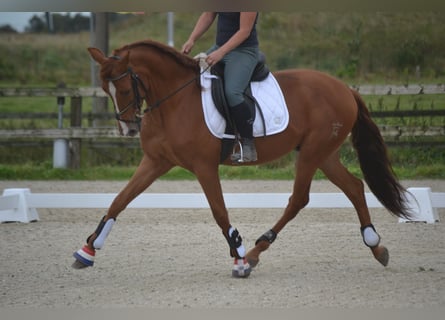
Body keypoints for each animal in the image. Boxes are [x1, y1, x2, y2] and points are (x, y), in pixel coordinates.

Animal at [73, 38, 410, 276]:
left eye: (125, 88)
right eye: (105, 88)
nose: (128, 128)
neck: (173, 101)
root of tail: (344, 88)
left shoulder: (204, 167)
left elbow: (220, 213)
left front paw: (238, 259)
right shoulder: (155, 162)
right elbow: (120, 200)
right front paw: (88, 250)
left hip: (313, 152)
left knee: (299, 198)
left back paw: (254, 252)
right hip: (323, 153)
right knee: (353, 186)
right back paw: (376, 246)